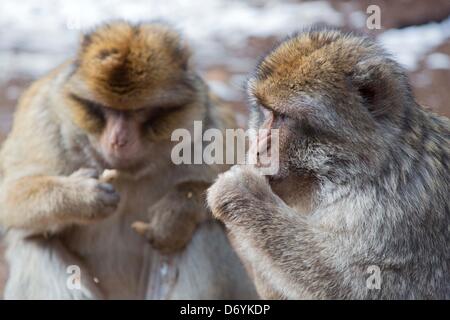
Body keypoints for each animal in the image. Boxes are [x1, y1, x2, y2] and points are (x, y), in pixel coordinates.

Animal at [0, 21, 255, 300]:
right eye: (106, 109)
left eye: (138, 111)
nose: (118, 140)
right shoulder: (44, 116)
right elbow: (8, 197)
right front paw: (80, 197)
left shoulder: (213, 127)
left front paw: (176, 212)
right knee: (36, 242)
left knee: (204, 233)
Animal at [208, 27, 450, 300]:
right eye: (268, 113)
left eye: (284, 117)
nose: (258, 148)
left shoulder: (395, 217)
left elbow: (362, 286)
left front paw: (242, 192)